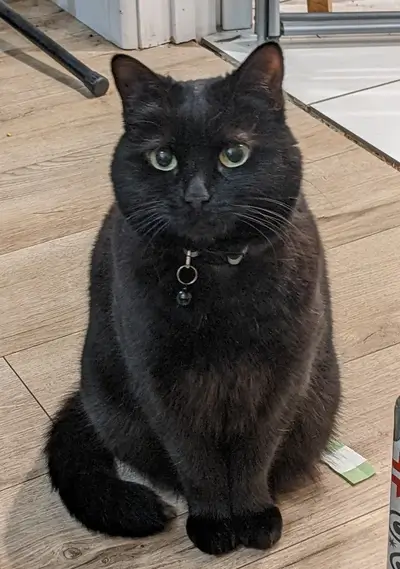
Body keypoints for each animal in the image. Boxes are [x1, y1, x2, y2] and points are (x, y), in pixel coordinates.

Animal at [46, 43, 340, 556]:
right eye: (163, 158)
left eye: (234, 154)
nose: (196, 196)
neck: (215, 271)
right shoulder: (162, 385)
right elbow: (195, 460)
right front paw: (214, 524)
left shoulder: (279, 381)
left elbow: (255, 454)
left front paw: (253, 517)